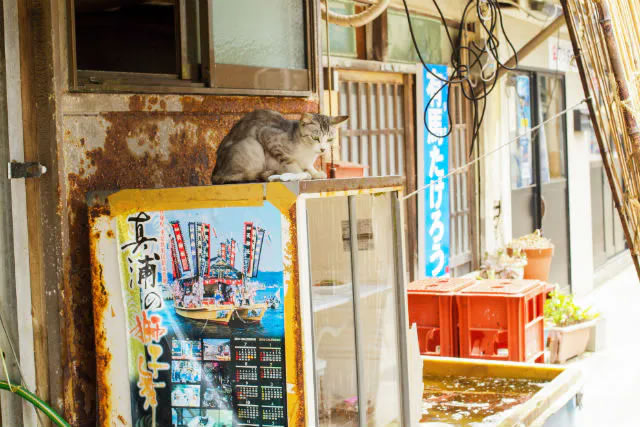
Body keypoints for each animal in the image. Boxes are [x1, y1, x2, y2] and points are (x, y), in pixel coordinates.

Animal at [212, 108, 348, 184]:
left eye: (330, 139)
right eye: (315, 138)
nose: (322, 149)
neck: (307, 152)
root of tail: (215, 173)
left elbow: (308, 167)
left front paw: (315, 173)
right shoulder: (267, 135)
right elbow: (290, 162)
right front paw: (299, 174)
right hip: (252, 145)